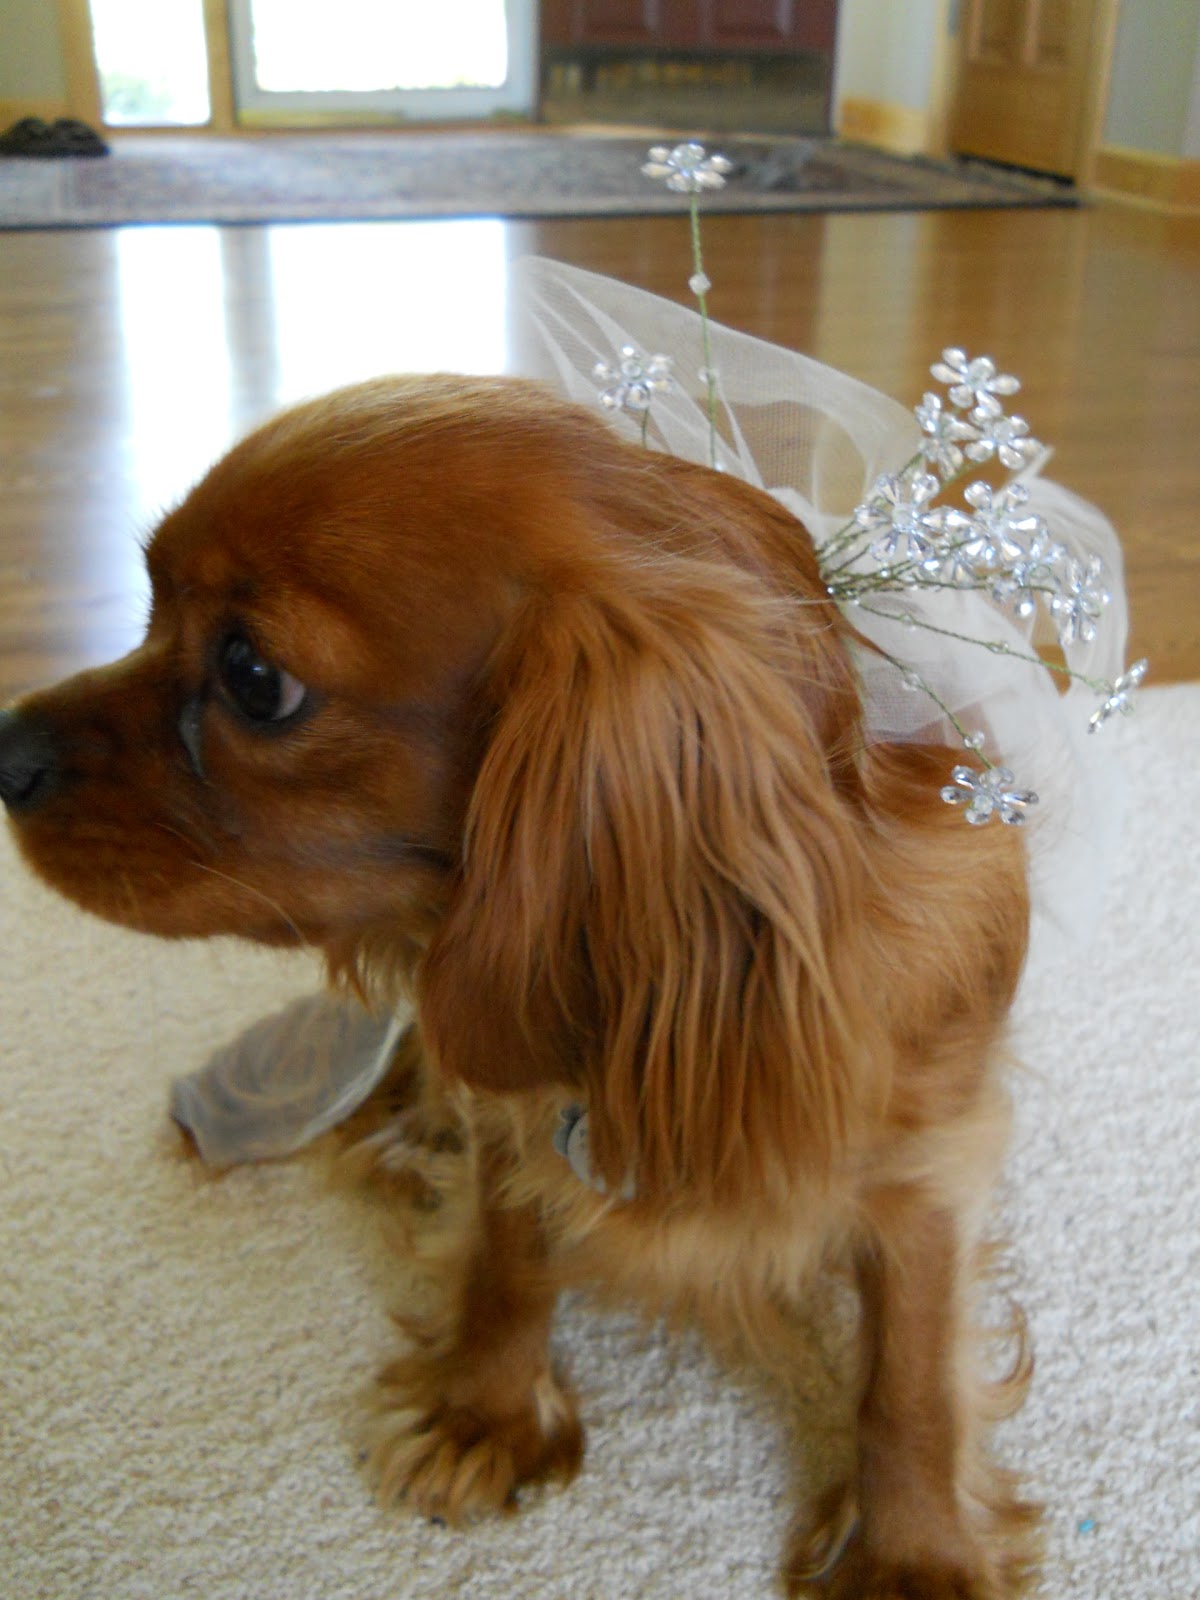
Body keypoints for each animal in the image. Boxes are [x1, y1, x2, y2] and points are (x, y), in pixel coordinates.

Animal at [0, 377, 1043, 1600]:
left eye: (255, 678)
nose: (2, 751)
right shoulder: (509, 1082)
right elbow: (509, 1250)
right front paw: (482, 1407)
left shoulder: (930, 1164)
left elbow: (911, 1375)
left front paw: (914, 1551)